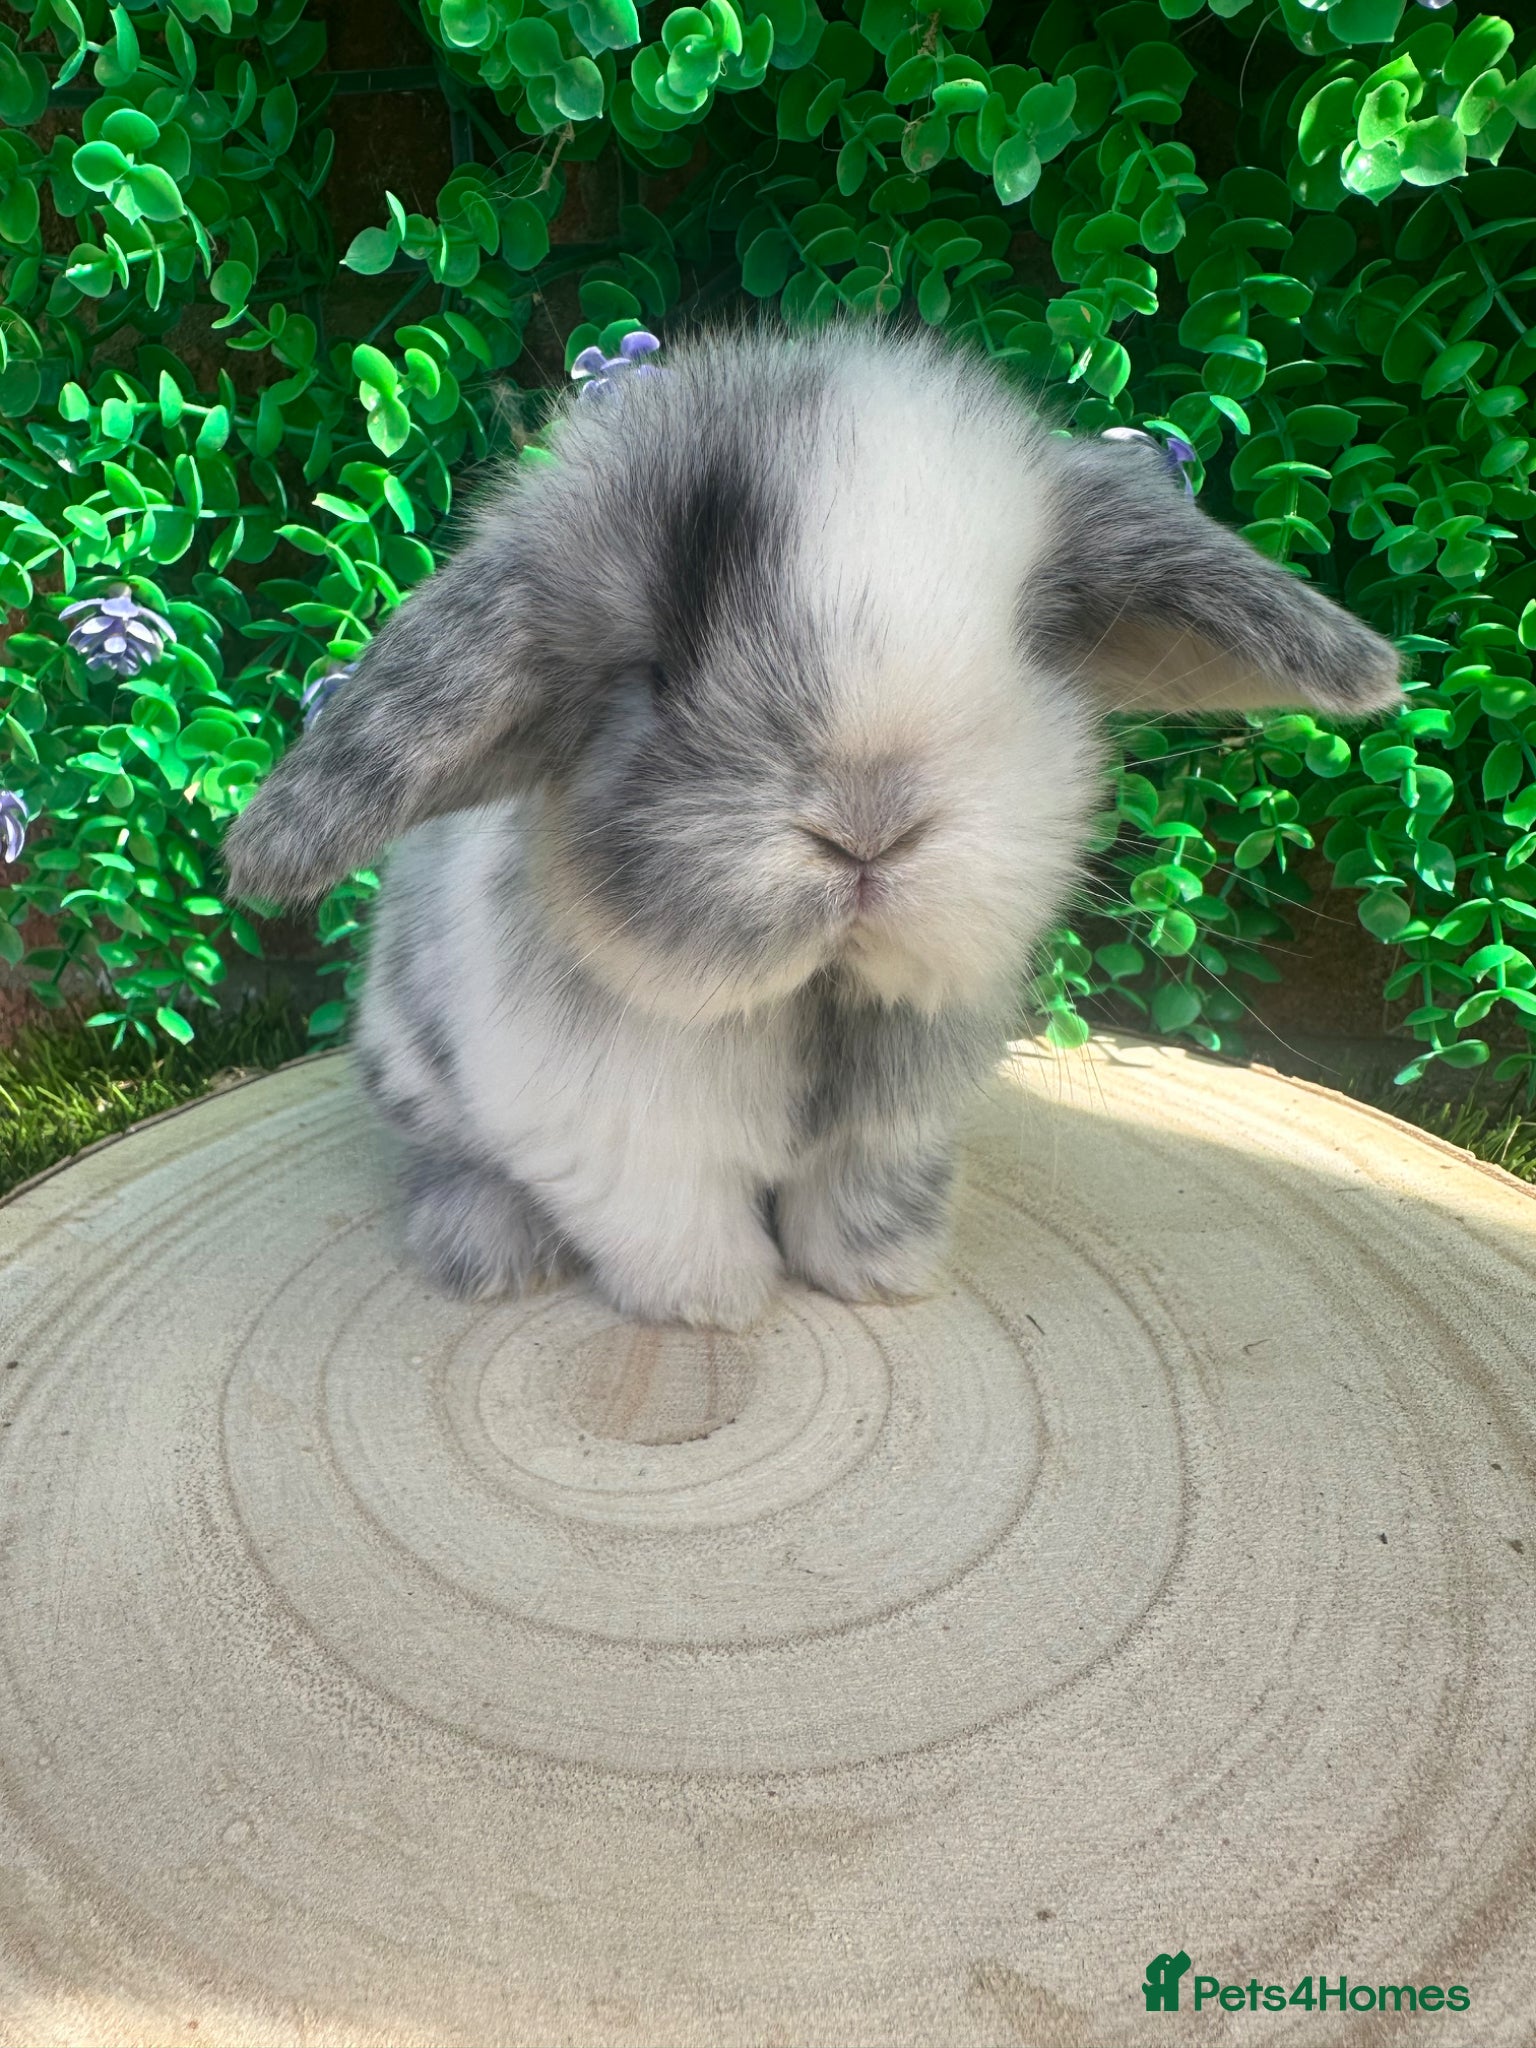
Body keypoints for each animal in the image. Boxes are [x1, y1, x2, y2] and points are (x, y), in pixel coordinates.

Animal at [225, 322, 1403, 1330]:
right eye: (655, 672)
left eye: (1029, 645)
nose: (867, 827)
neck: (813, 997)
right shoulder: (609, 1135)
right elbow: (672, 1223)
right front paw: (720, 1306)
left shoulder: (898, 1125)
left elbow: (869, 1200)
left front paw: (881, 1281)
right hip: (409, 1069)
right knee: (445, 1161)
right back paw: (493, 1253)